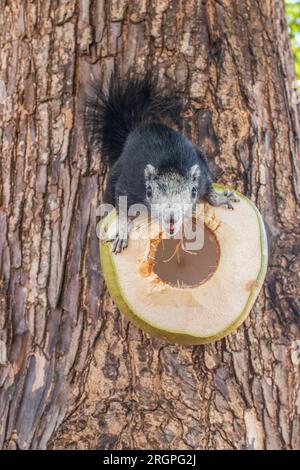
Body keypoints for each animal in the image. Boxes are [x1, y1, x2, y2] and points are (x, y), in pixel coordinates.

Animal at [84, 72, 239, 253]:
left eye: (193, 192)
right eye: (149, 191)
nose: (171, 218)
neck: (169, 164)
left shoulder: (201, 169)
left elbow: (209, 188)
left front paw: (221, 198)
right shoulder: (129, 183)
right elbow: (121, 206)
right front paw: (122, 232)